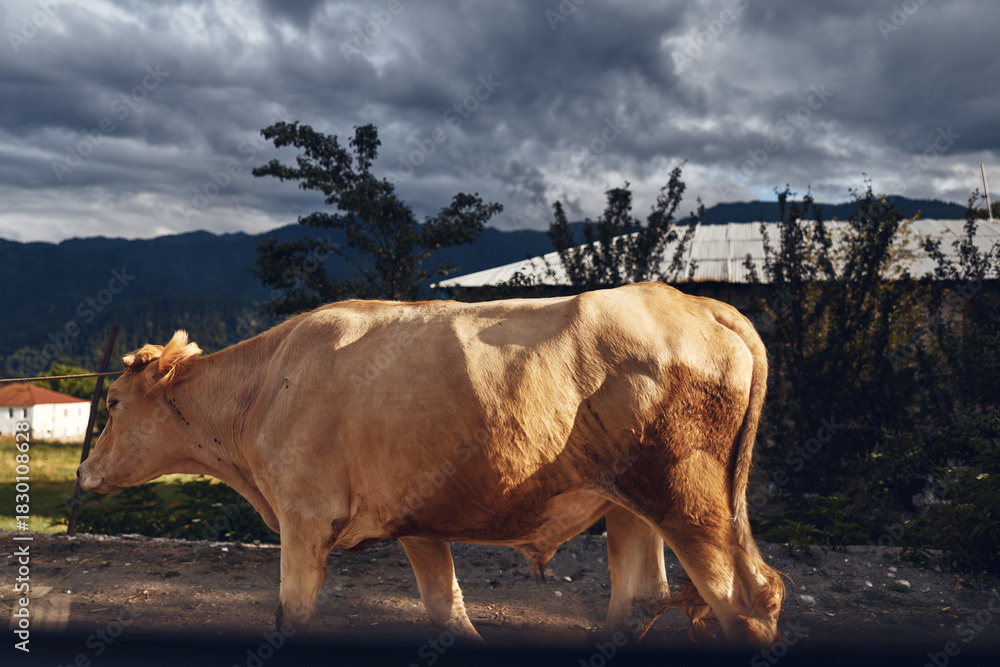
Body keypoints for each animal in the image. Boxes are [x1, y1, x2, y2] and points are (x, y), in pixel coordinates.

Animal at [77, 282, 784, 646]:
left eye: (111, 401)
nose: (84, 471)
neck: (267, 386)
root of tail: (694, 301)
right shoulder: (417, 524)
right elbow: (450, 612)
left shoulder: (305, 518)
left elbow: (292, 617)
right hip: (628, 506)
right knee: (638, 601)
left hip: (685, 498)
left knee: (745, 598)